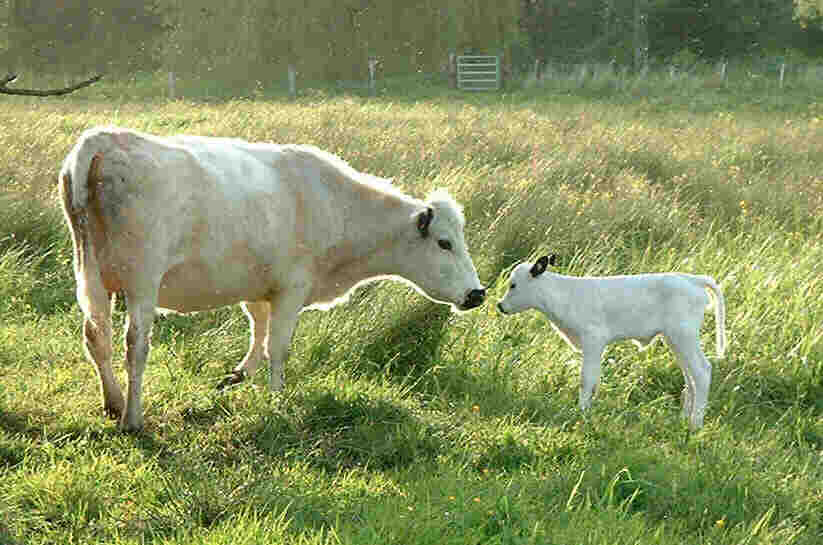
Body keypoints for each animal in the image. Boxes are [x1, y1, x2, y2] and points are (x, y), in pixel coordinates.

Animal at [61, 125, 486, 432]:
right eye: (445, 243)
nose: (477, 293)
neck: (335, 204)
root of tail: (105, 138)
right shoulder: (290, 289)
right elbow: (277, 348)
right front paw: (277, 399)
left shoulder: (258, 288)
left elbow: (258, 333)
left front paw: (236, 377)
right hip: (142, 282)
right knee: (135, 346)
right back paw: (132, 418)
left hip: (91, 278)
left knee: (97, 338)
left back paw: (114, 404)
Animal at [496, 255, 728, 430]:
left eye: (513, 285)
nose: (500, 305)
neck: (565, 295)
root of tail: (692, 279)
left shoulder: (593, 340)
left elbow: (586, 379)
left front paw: (581, 412)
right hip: (675, 339)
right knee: (690, 378)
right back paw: (684, 419)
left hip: (684, 336)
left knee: (702, 371)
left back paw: (695, 424)